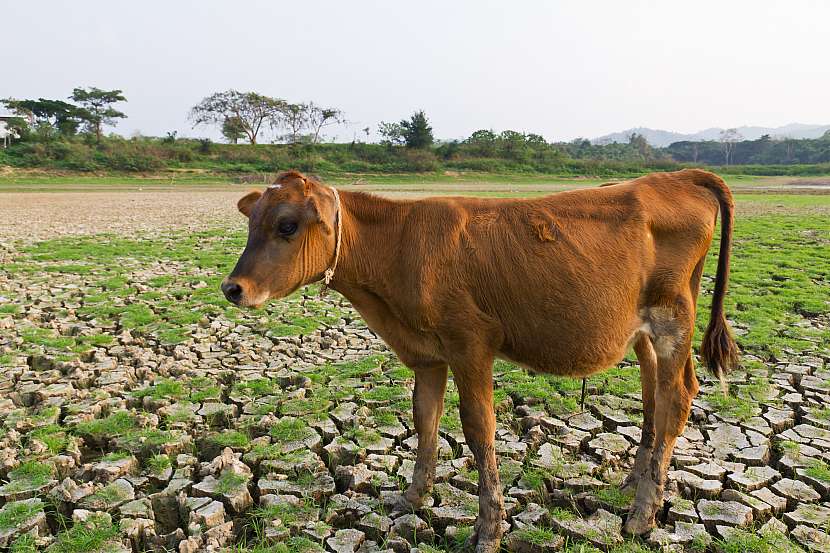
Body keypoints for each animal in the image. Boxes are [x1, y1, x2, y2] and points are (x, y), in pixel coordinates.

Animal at [223, 168, 740, 552]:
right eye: (252, 224)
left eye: (287, 225)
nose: (232, 288)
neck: (399, 249)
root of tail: (676, 177)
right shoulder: (427, 355)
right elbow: (425, 419)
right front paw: (413, 496)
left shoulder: (471, 343)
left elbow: (478, 428)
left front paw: (489, 528)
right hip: (645, 332)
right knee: (655, 394)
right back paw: (635, 483)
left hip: (673, 318)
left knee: (676, 399)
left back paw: (642, 514)